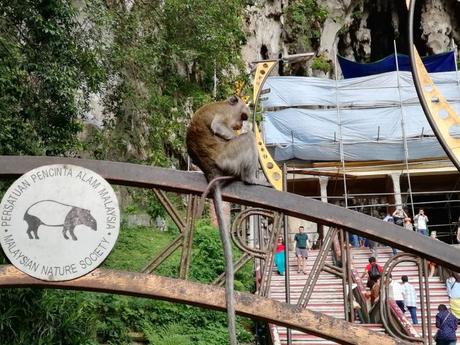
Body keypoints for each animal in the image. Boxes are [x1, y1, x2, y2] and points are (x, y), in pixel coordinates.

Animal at [185, 94, 260, 344]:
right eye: (244, 115)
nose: (239, 125)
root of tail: (210, 169)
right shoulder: (225, 116)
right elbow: (219, 127)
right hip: (229, 158)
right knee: (247, 140)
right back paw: (251, 178)